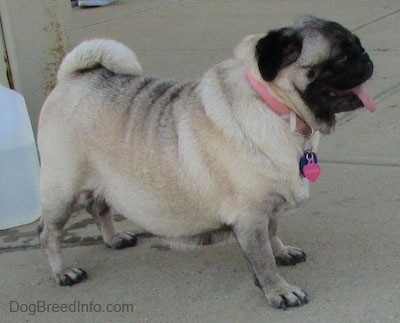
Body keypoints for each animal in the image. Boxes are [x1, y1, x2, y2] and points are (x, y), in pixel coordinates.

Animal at [37, 15, 376, 312]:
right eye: (342, 57)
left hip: (99, 181)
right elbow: (262, 257)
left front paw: (282, 252)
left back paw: (113, 238)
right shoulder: (251, 214)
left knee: (98, 206)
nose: (367, 56)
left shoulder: (267, 206)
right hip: (62, 191)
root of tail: (75, 76)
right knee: (48, 233)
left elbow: (273, 231)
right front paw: (279, 290)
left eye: (357, 47)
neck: (276, 107)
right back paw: (62, 273)